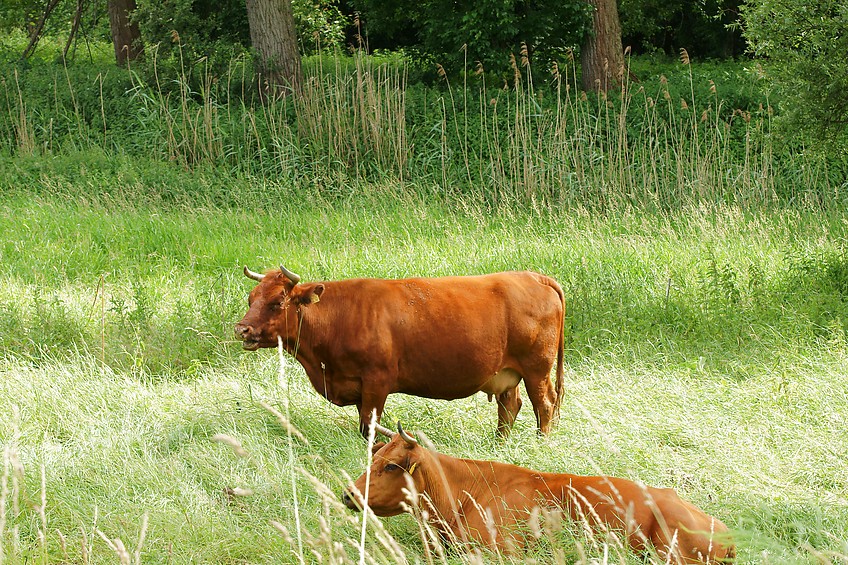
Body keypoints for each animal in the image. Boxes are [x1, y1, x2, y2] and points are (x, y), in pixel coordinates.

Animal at [234, 266, 564, 436]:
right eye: (251, 298)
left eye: (277, 302)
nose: (242, 329)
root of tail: (533, 276)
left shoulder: (377, 381)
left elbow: (368, 425)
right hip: (507, 372)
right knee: (510, 407)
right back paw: (499, 444)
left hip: (537, 368)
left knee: (545, 404)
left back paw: (540, 442)